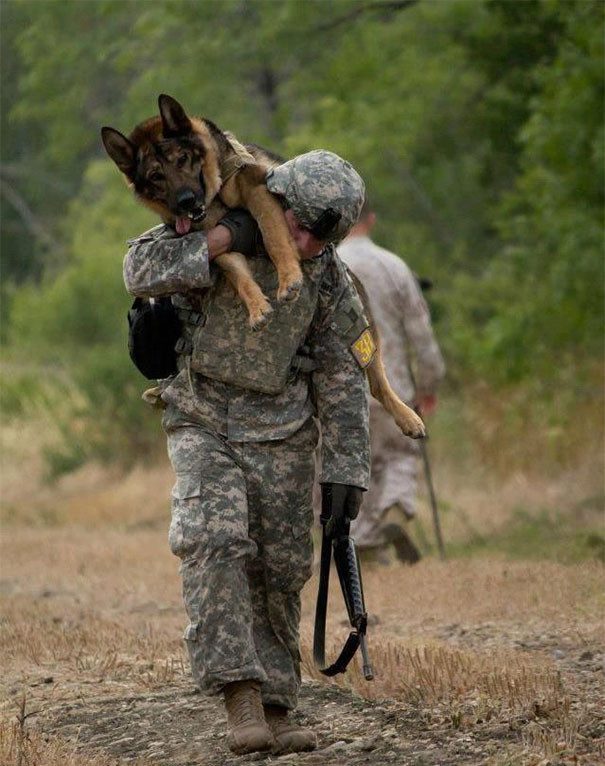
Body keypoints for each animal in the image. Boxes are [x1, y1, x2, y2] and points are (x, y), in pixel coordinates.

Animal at [101, 95, 422, 440]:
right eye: (155, 176)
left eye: (182, 159)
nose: (186, 202)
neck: (215, 196)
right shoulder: (218, 238)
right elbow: (238, 273)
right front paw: (256, 306)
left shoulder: (257, 192)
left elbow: (272, 235)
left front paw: (289, 278)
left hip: (361, 322)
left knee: (375, 376)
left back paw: (407, 416)